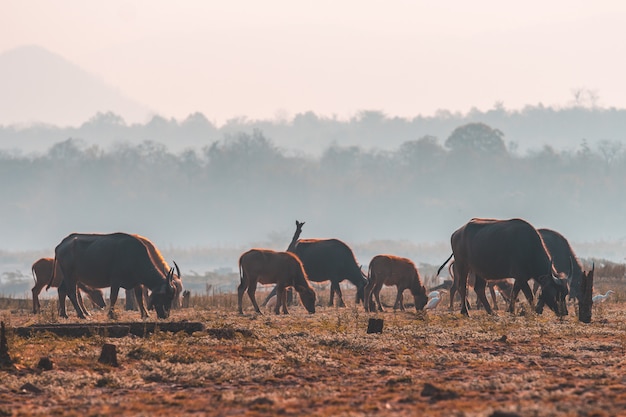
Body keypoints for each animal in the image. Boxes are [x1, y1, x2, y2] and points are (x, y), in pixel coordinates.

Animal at [436, 218, 568, 316]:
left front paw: (511, 310)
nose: (565, 312)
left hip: (479, 270)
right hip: (462, 265)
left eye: (565, 293)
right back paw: (465, 312)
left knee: (479, 289)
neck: (530, 247)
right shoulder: (520, 276)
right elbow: (529, 295)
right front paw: (532, 311)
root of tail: (456, 233)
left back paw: (491, 312)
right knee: (462, 287)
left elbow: (514, 293)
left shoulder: (520, 278)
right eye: (556, 293)